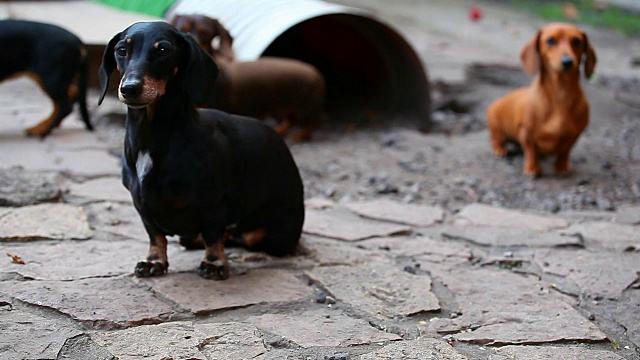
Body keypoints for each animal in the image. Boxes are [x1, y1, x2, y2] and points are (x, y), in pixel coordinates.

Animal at [97, 21, 304, 282]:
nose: (130, 89)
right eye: (122, 50)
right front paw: (154, 261)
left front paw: (215, 263)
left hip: (273, 237)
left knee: (242, 237)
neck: (152, 135)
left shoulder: (214, 205)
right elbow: (156, 236)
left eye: (163, 50)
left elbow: (213, 235)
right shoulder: (141, 206)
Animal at [170, 15, 324, 142]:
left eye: (205, 32)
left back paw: (301, 135)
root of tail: (316, 72)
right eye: (182, 29)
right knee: (292, 119)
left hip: (307, 106)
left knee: (315, 120)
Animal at [488, 23, 596, 176]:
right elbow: (531, 152)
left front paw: (562, 167)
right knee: (496, 139)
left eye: (576, 41)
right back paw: (499, 149)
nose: (567, 62)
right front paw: (532, 169)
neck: (560, 94)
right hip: (496, 126)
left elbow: (565, 152)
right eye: (550, 41)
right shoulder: (526, 134)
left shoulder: (574, 136)